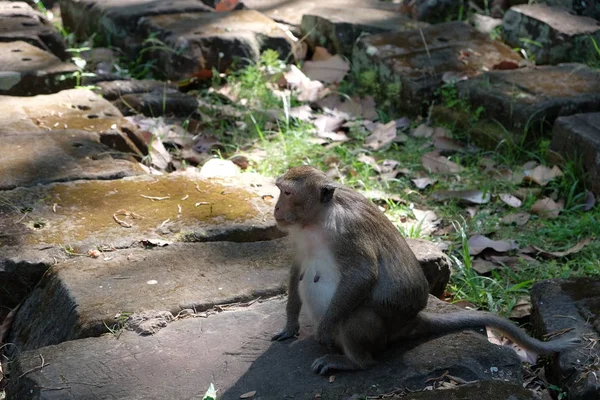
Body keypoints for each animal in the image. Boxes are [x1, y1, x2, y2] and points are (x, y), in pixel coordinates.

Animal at [272, 165, 580, 376]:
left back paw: (353, 362)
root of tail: (412, 321)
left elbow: (362, 275)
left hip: (382, 327)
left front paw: (323, 331)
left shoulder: (348, 233)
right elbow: (297, 267)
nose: (275, 209)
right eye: (279, 190)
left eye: (287, 193)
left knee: (354, 316)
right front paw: (290, 323)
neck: (317, 220)